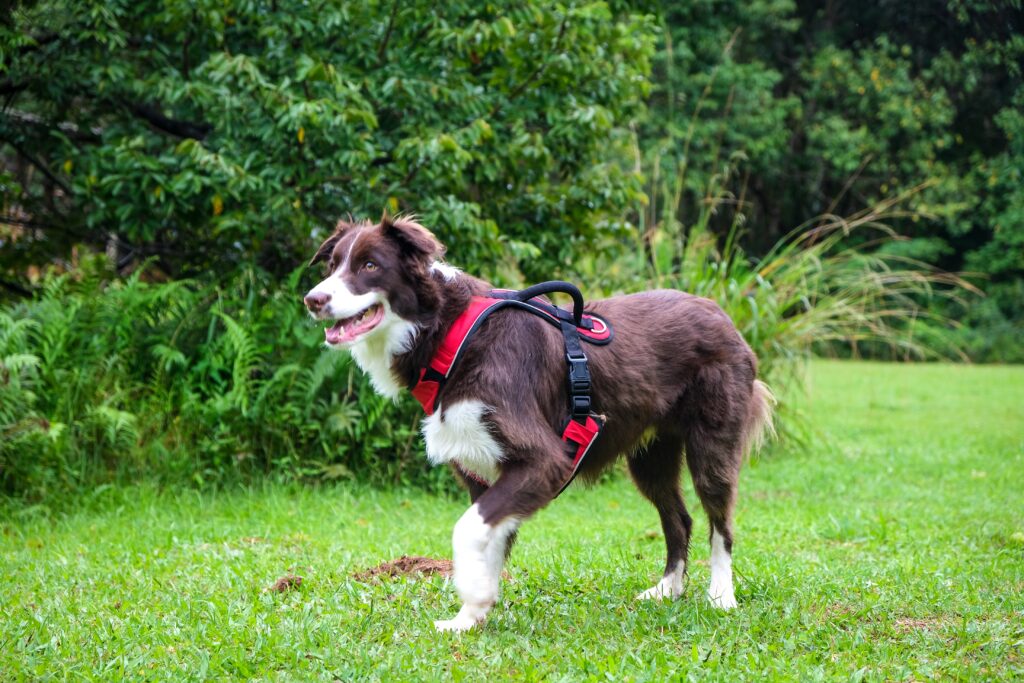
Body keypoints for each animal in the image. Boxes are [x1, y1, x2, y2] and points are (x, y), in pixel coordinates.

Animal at [303, 216, 774, 634]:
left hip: (713, 439)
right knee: (679, 518)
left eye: (370, 266)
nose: (313, 299)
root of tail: (723, 314)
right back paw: (667, 590)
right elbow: (488, 541)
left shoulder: (544, 459)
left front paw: (472, 595)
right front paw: (470, 617)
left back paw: (720, 595)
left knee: (719, 521)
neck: (452, 335)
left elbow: (468, 528)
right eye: (332, 266)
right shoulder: (483, 468)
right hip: (650, 454)